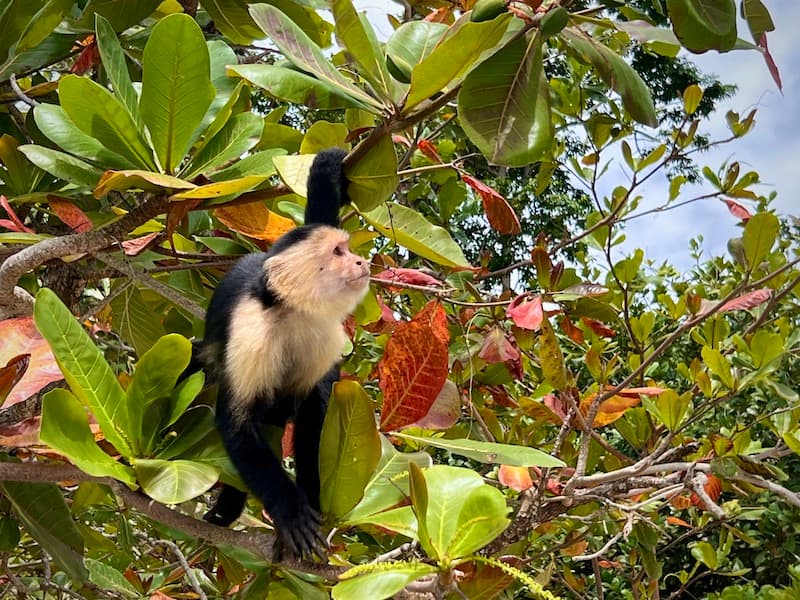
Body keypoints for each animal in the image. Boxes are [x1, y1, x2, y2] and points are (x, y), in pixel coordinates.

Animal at [195, 149, 370, 556]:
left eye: (348, 248)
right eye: (338, 252)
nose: (360, 261)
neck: (294, 313)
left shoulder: (325, 335)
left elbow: (313, 414)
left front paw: (313, 499)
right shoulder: (252, 331)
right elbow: (237, 422)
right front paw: (290, 510)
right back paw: (226, 511)